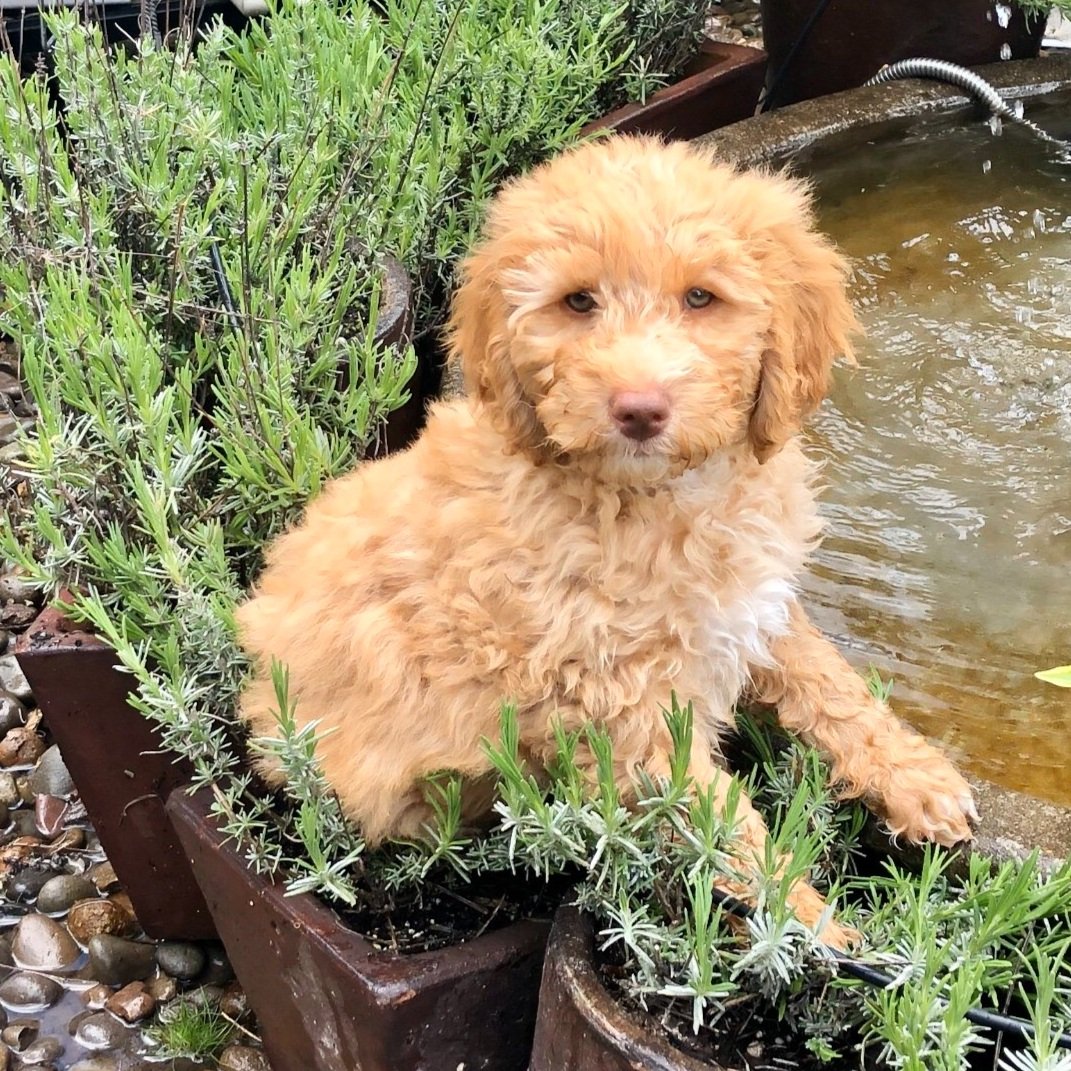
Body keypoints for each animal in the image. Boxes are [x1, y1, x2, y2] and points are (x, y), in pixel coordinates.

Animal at [236, 136, 981, 946]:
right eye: (577, 303)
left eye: (700, 298)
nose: (639, 408)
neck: (661, 501)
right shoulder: (623, 714)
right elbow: (720, 820)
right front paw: (808, 930)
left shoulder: (753, 604)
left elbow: (830, 685)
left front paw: (917, 780)